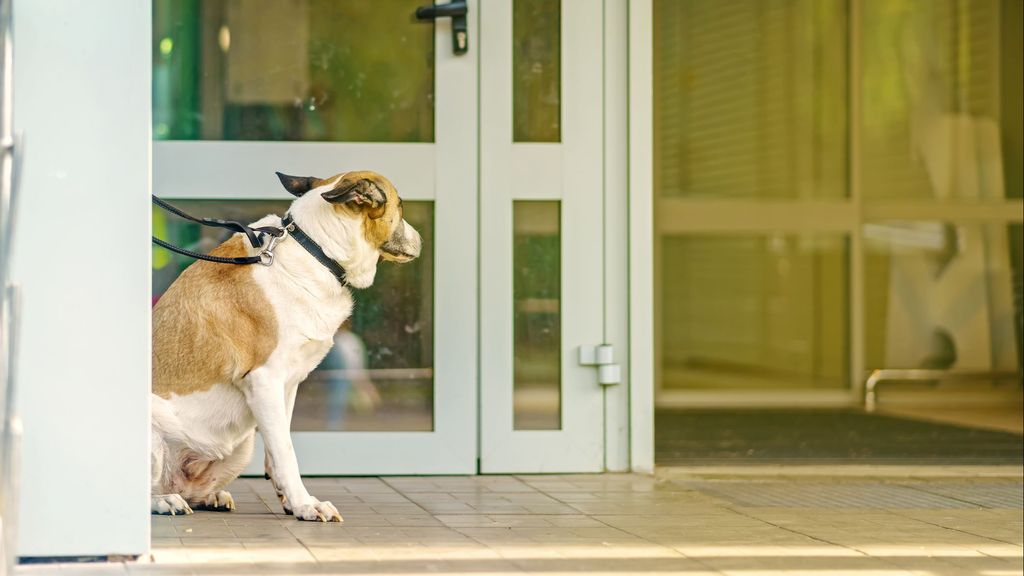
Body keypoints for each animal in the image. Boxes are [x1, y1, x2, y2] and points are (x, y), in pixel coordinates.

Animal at [149, 169, 419, 520]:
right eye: (399, 205)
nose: (420, 239)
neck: (316, 250)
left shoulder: (287, 385)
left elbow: (278, 448)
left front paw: (292, 501)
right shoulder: (265, 380)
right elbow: (286, 452)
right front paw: (306, 504)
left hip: (241, 445)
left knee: (191, 490)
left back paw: (209, 497)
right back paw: (164, 501)